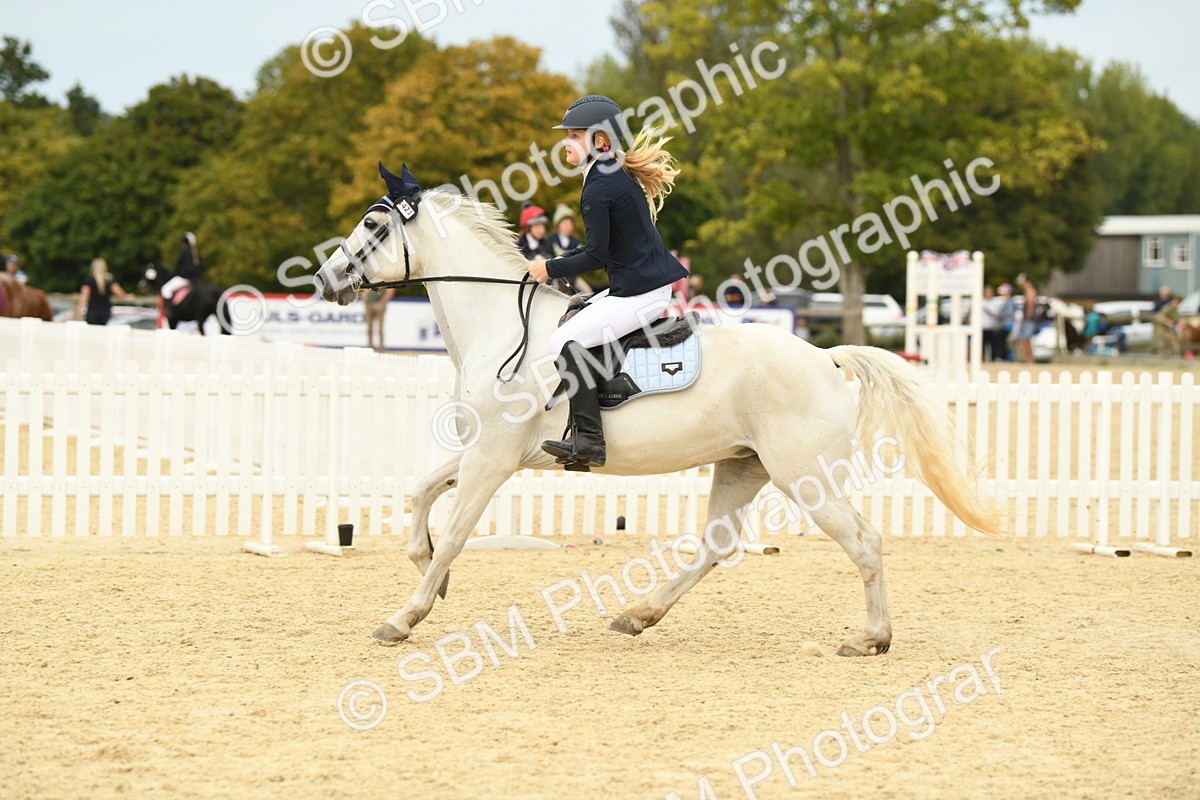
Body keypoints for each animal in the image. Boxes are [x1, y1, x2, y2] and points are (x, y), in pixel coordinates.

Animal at [313, 164, 1005, 655]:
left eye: (374, 228)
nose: (324, 281)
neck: (499, 324)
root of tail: (825, 357)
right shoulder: (486, 450)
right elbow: (421, 494)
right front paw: (431, 576)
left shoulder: (492, 458)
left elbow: (456, 530)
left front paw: (404, 616)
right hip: (743, 466)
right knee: (717, 546)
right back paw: (638, 616)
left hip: (803, 474)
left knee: (863, 541)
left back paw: (871, 638)